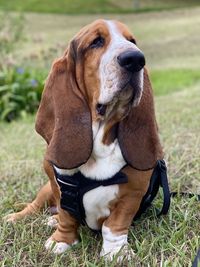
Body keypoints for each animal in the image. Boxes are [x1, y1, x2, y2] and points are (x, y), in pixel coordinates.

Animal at [3, 19, 165, 262]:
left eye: (132, 41)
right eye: (96, 42)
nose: (136, 59)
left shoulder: (132, 193)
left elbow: (115, 225)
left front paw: (116, 252)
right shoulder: (57, 186)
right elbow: (66, 216)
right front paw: (61, 241)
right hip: (45, 191)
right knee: (34, 206)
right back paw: (17, 218)